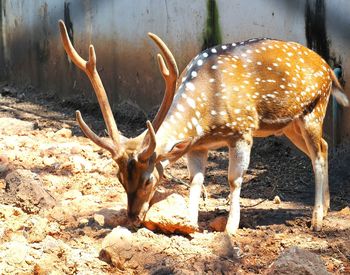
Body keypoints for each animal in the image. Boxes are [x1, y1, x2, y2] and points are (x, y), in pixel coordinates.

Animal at [58, 20, 348, 235]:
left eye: (149, 179)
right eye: (119, 177)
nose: (132, 217)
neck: (205, 114)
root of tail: (329, 68)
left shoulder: (242, 130)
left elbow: (233, 178)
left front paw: (231, 227)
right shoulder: (197, 146)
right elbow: (195, 181)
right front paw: (188, 221)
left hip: (314, 109)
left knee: (319, 154)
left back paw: (317, 219)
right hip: (290, 125)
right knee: (322, 147)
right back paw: (327, 205)